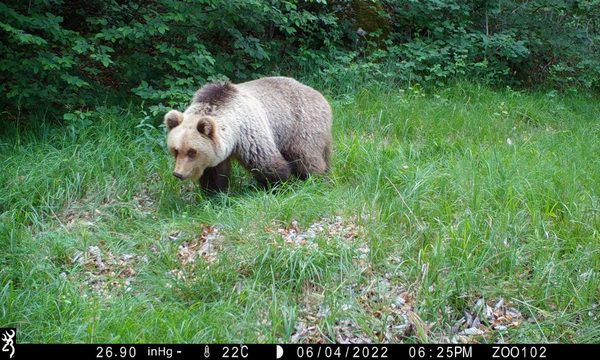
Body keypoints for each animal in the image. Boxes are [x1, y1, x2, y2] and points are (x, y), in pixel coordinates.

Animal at [164, 76, 332, 191]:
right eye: (176, 150)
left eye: (192, 152)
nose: (178, 174)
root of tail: (321, 97)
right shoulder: (219, 151)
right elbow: (215, 174)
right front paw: (214, 193)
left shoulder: (249, 134)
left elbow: (266, 163)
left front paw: (278, 185)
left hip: (300, 125)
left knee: (304, 155)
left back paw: (316, 179)